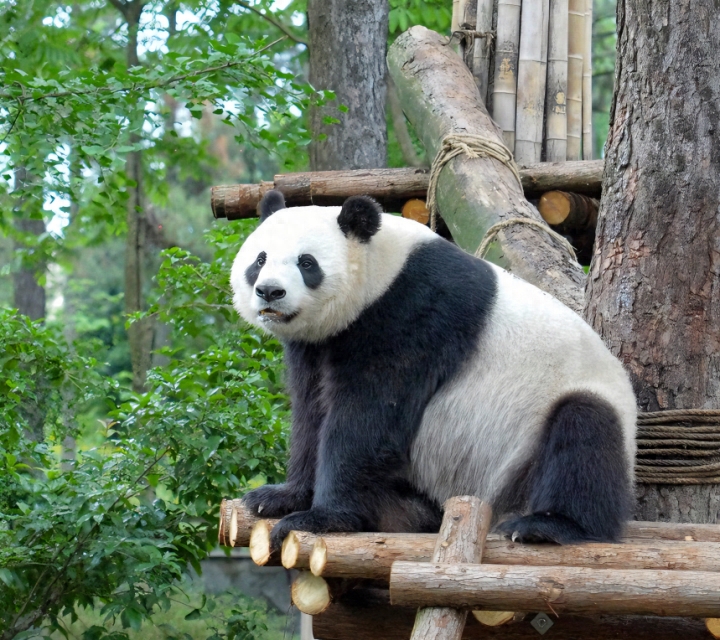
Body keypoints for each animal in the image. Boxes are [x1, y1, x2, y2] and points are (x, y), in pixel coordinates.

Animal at [231, 190, 636, 552]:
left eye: (307, 263)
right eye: (260, 259)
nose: (270, 292)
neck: (383, 270)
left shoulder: (412, 312)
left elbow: (369, 416)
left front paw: (323, 518)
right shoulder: (317, 344)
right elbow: (311, 413)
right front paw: (279, 496)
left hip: (551, 416)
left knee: (584, 437)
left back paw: (546, 525)